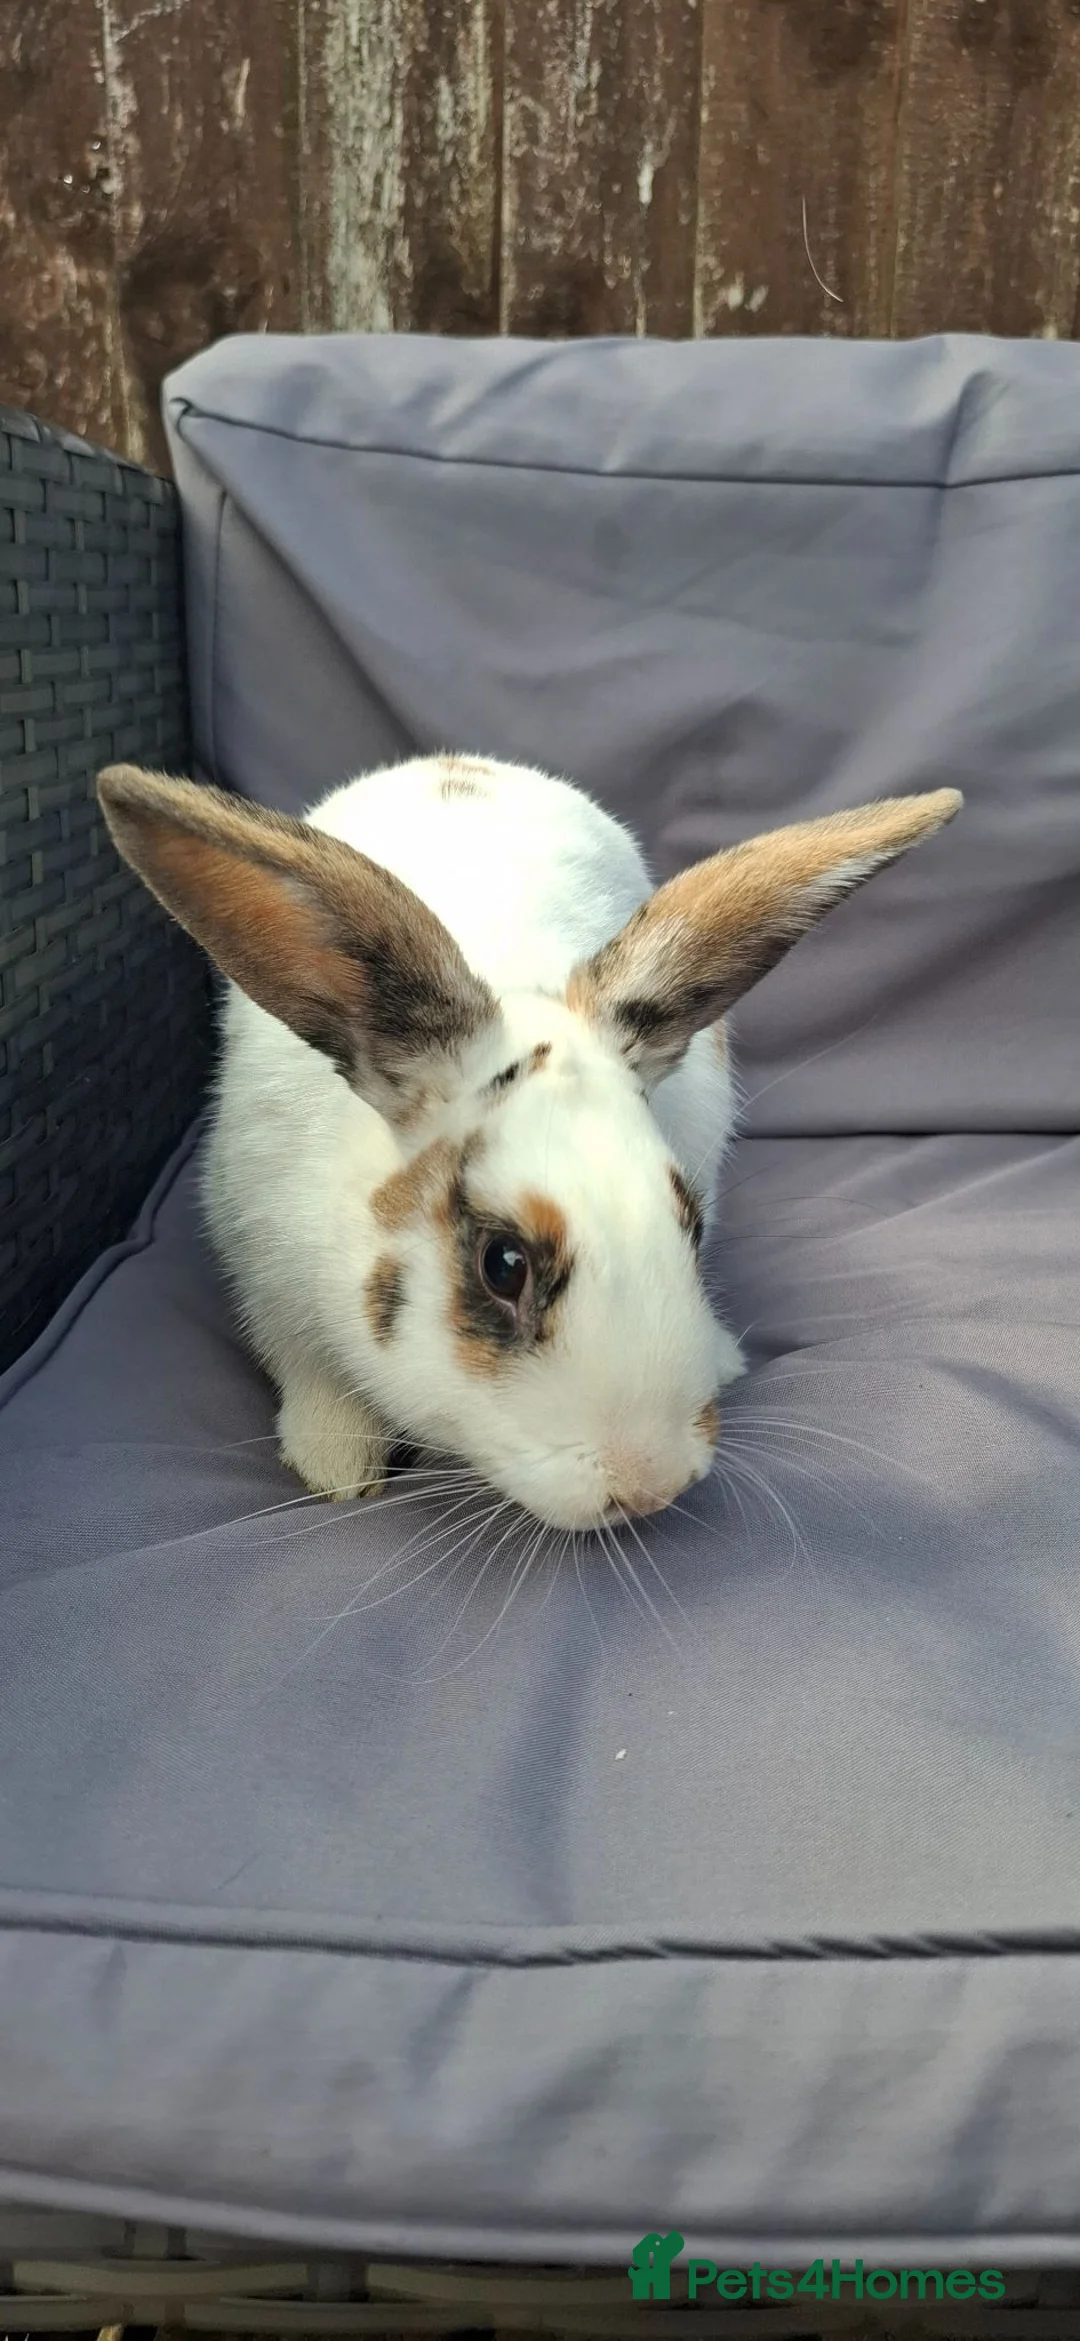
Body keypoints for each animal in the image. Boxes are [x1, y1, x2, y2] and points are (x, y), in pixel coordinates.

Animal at [96, 754, 960, 1530]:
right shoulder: (262, 1266)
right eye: (502, 1265)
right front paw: (339, 1467)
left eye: (689, 1229)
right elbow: (315, 1378)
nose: (650, 1486)